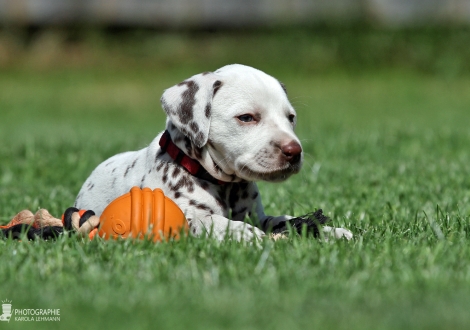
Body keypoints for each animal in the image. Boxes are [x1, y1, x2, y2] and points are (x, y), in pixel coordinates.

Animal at [74, 63, 352, 242]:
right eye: (247, 117)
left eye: (290, 118)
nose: (294, 151)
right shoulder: (181, 215)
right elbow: (205, 220)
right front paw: (240, 232)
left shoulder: (257, 216)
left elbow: (282, 219)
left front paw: (328, 230)